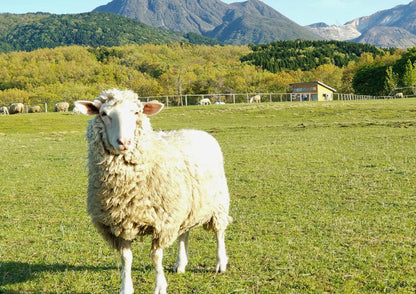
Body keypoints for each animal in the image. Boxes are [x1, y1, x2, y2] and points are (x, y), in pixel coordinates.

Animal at [75, 89, 231, 294]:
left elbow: (156, 257)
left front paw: (159, 286)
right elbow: (126, 259)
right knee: (184, 233)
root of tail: (197, 131)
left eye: (136, 112)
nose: (124, 142)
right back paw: (180, 264)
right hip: (186, 207)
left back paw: (220, 263)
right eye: (104, 114)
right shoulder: (119, 224)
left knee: (219, 232)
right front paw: (126, 288)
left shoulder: (162, 223)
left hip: (219, 202)